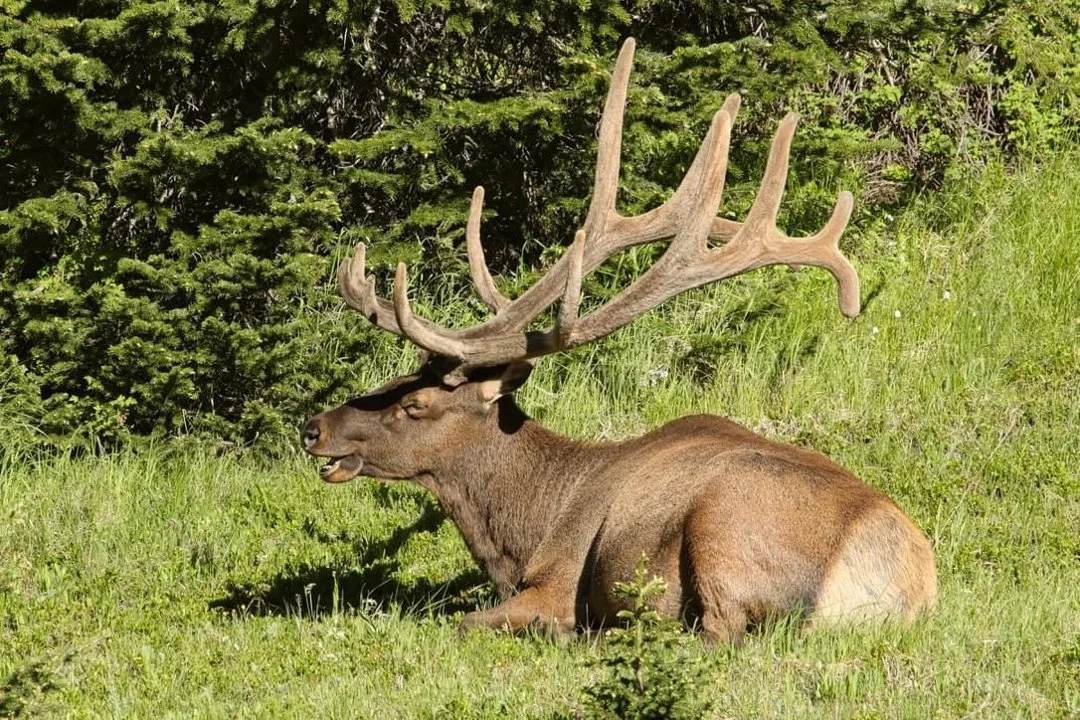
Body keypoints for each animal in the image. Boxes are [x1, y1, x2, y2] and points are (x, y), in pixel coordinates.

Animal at [302, 38, 937, 645]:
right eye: (397, 377)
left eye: (416, 405)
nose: (314, 428)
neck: (524, 531)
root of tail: (897, 582)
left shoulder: (557, 579)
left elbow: (465, 620)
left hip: (725, 531)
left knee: (716, 634)